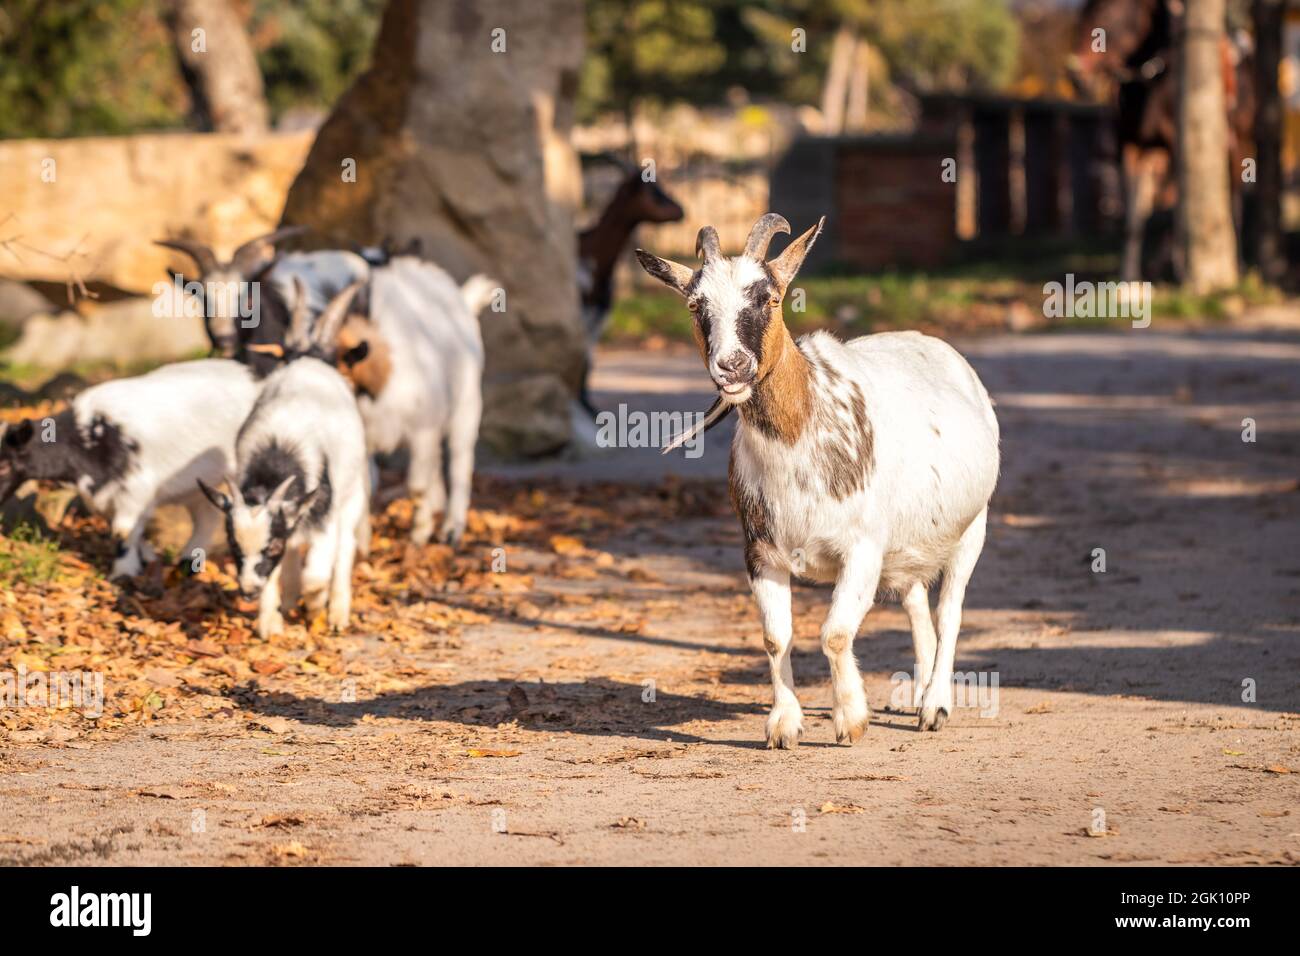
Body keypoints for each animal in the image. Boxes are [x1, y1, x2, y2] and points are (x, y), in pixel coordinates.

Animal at [0, 359, 260, 578]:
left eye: (4, 465)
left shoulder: (136, 487)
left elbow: (122, 531)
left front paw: (123, 573)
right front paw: (146, 557)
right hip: (198, 482)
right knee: (207, 516)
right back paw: (187, 563)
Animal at [197, 282, 370, 638]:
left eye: (271, 547)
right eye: (234, 547)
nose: (248, 590)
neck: (277, 454)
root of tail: (311, 359)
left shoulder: (324, 510)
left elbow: (315, 574)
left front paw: (315, 606)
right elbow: (279, 568)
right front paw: (269, 622)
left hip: (353, 493)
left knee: (345, 546)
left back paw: (337, 612)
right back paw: (289, 600)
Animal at [637, 214, 1000, 747]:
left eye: (770, 298)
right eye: (694, 305)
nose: (733, 366)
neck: (797, 441)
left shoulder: (862, 549)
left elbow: (834, 632)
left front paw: (851, 719)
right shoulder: (761, 552)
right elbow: (775, 636)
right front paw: (784, 726)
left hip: (972, 526)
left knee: (949, 611)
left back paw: (934, 706)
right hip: (906, 544)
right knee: (918, 607)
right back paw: (915, 694)